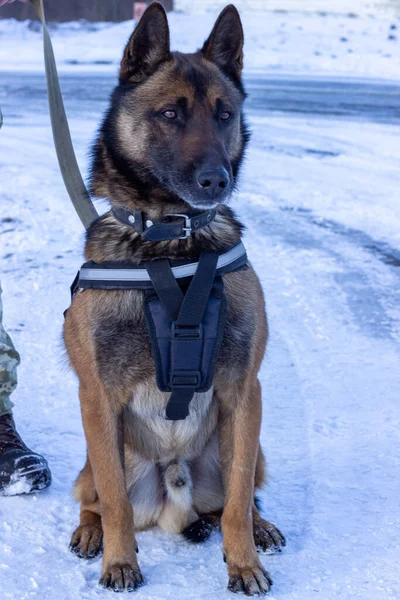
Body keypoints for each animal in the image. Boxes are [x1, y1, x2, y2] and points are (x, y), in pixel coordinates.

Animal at [64, 2, 284, 596]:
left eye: (225, 114)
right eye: (169, 114)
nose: (216, 180)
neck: (172, 242)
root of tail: (174, 489)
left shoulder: (244, 390)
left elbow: (236, 499)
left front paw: (243, 562)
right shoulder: (98, 399)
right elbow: (116, 502)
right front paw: (119, 561)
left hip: (252, 445)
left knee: (239, 497)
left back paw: (261, 526)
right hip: (90, 462)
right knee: (93, 497)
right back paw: (90, 533)